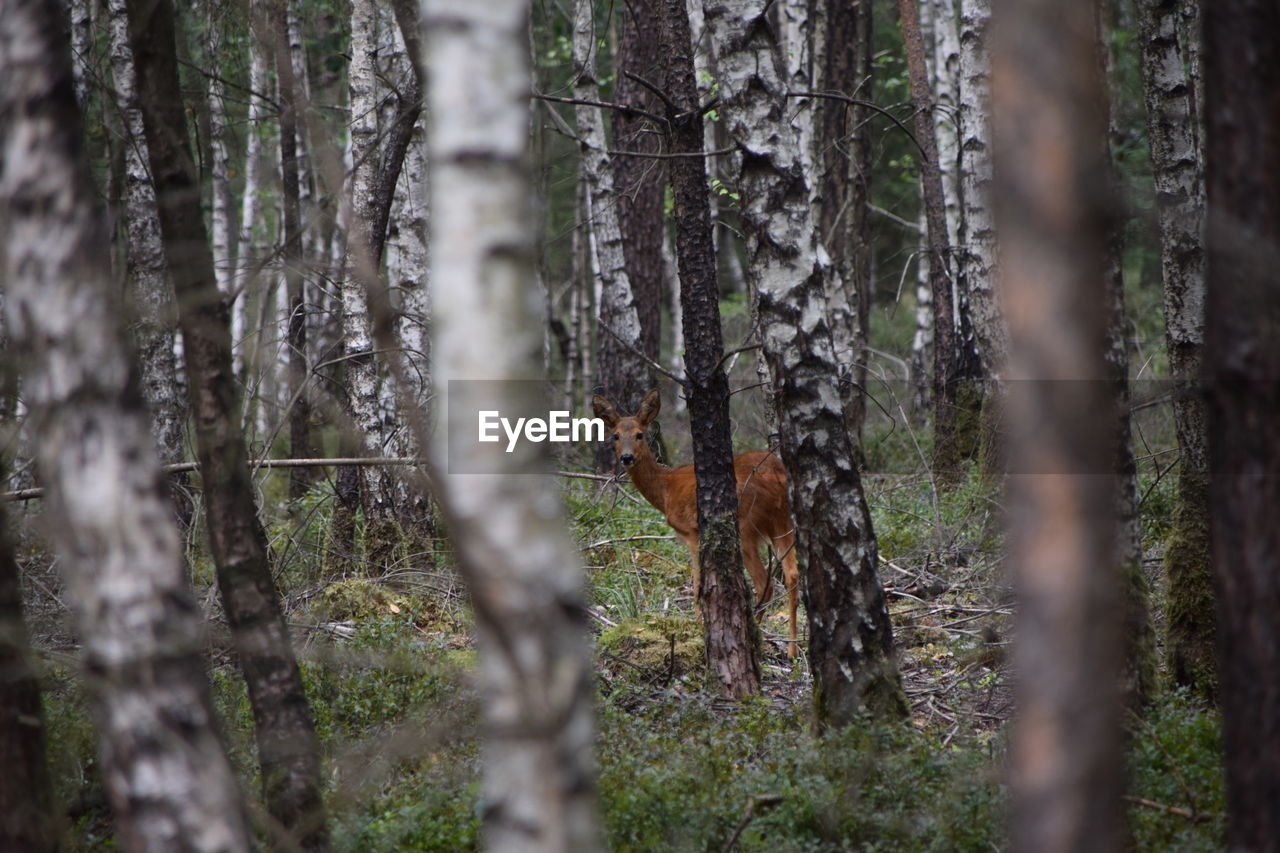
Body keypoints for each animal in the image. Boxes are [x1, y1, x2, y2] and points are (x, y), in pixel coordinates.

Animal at [591, 389, 793, 653]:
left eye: (639, 434)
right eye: (615, 435)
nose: (626, 457)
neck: (666, 490)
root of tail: (777, 474)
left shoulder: (692, 532)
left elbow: (697, 583)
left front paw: (698, 626)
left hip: (746, 524)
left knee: (765, 583)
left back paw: (756, 637)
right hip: (783, 520)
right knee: (793, 576)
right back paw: (792, 649)